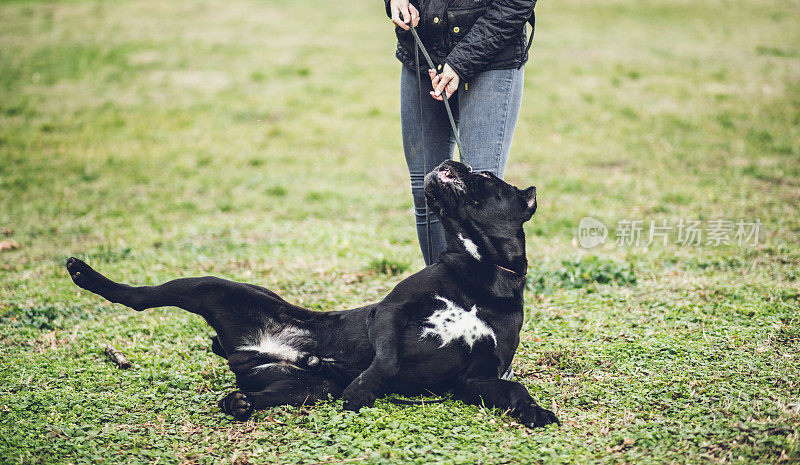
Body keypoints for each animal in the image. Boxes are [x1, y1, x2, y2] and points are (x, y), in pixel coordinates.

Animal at [65, 160, 556, 428]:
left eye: (485, 175)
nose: (452, 159)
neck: (483, 273)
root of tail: (242, 350)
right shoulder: (392, 311)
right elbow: (388, 359)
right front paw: (362, 391)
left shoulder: (476, 376)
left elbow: (514, 390)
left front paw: (535, 412)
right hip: (212, 287)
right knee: (138, 297)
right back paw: (84, 274)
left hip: (306, 387)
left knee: (263, 393)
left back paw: (240, 402)